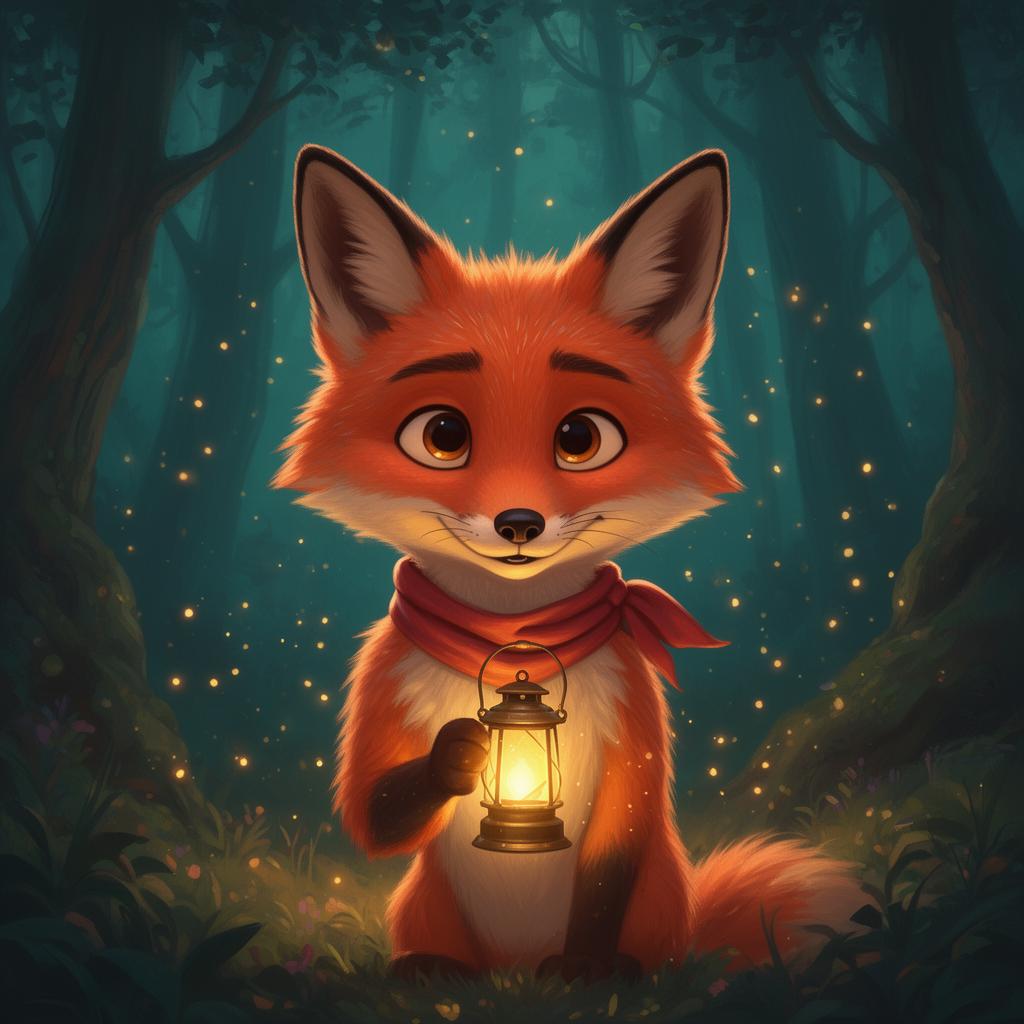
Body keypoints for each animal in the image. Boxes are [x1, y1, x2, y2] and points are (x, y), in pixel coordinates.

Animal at [273, 144, 860, 982]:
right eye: (442, 435)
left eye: (581, 437)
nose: (519, 523)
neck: (512, 633)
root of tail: (510, 966)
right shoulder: (380, 688)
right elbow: (368, 812)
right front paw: (456, 757)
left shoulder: (633, 731)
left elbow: (612, 858)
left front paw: (587, 968)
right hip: (424, 904)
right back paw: (436, 968)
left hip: (660, 903)